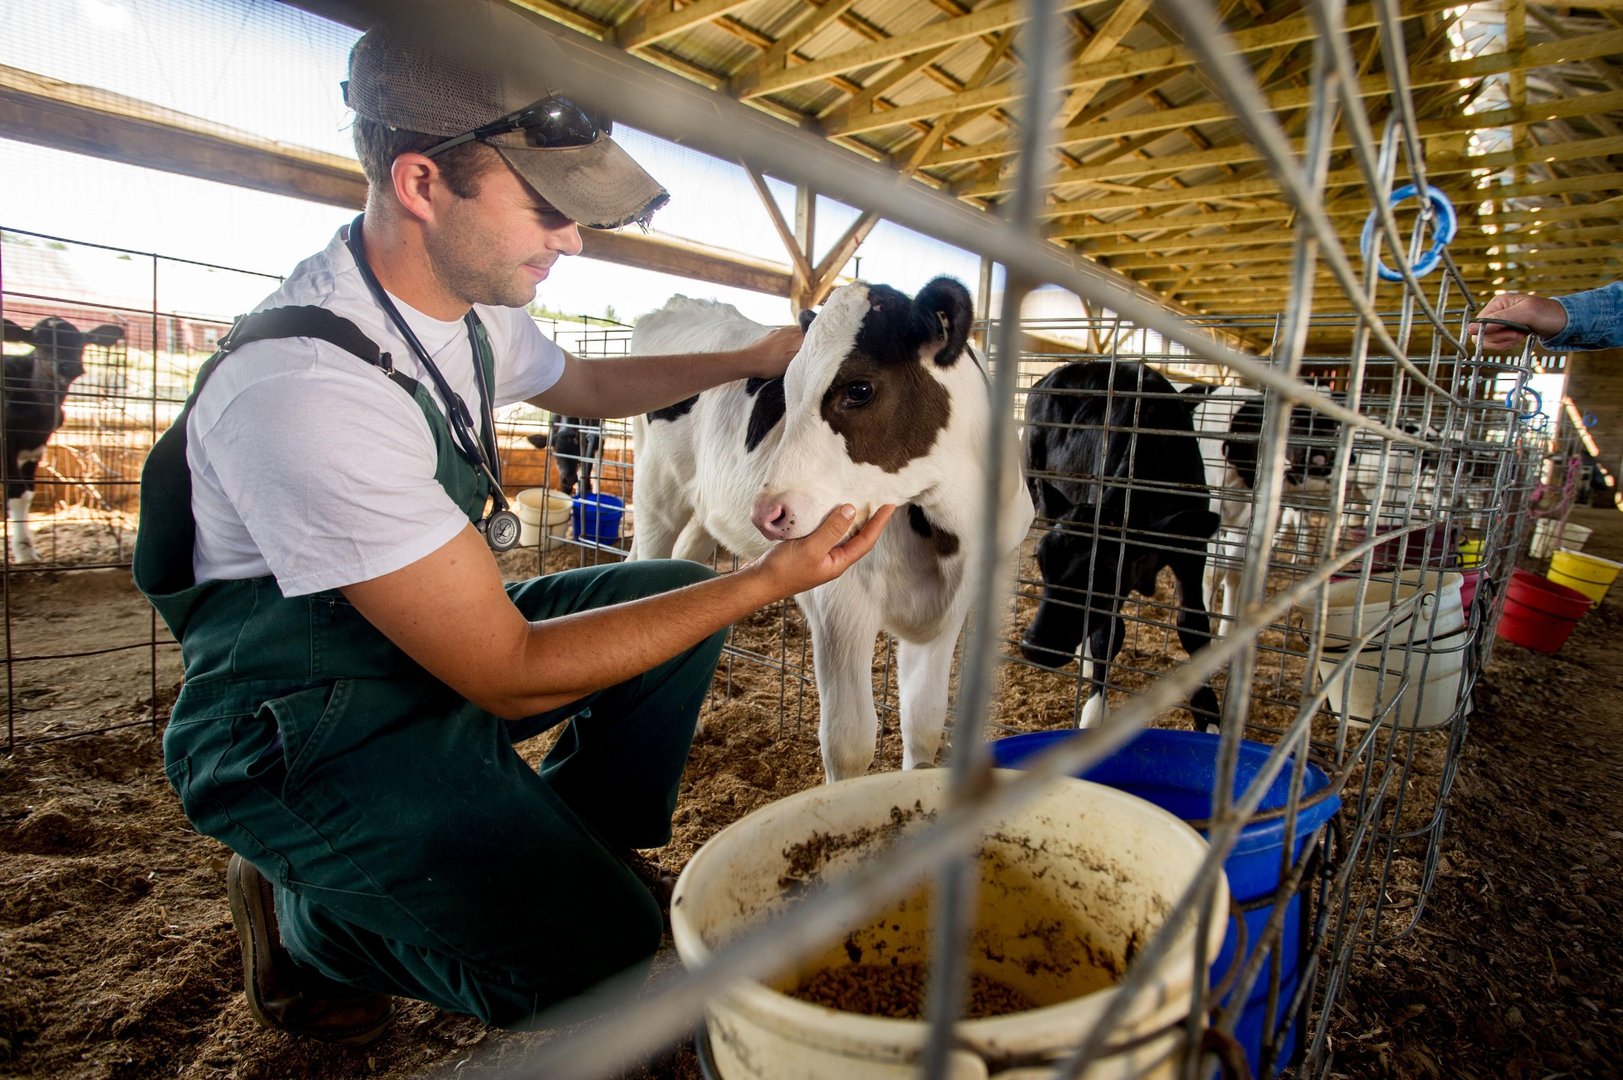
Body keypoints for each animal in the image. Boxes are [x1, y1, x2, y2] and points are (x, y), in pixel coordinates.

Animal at [2, 313, 123, 558]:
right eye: (38, 340)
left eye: (81, 342)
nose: (69, 366)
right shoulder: (7, 445)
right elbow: (16, 492)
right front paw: (24, 553)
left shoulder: (36, 448)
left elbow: (27, 493)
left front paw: (28, 550)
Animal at [626, 277, 1032, 779]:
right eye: (787, 390)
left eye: (859, 388)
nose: (766, 512)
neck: (951, 528)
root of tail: (679, 305)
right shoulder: (839, 604)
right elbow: (849, 742)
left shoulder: (949, 609)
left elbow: (924, 726)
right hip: (656, 491)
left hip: (703, 514)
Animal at [1019, 363, 1220, 734]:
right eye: (1042, 561)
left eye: (1105, 574)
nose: (1035, 646)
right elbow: (1108, 635)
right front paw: (1094, 712)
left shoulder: (1192, 550)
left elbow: (1193, 628)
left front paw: (1209, 717)